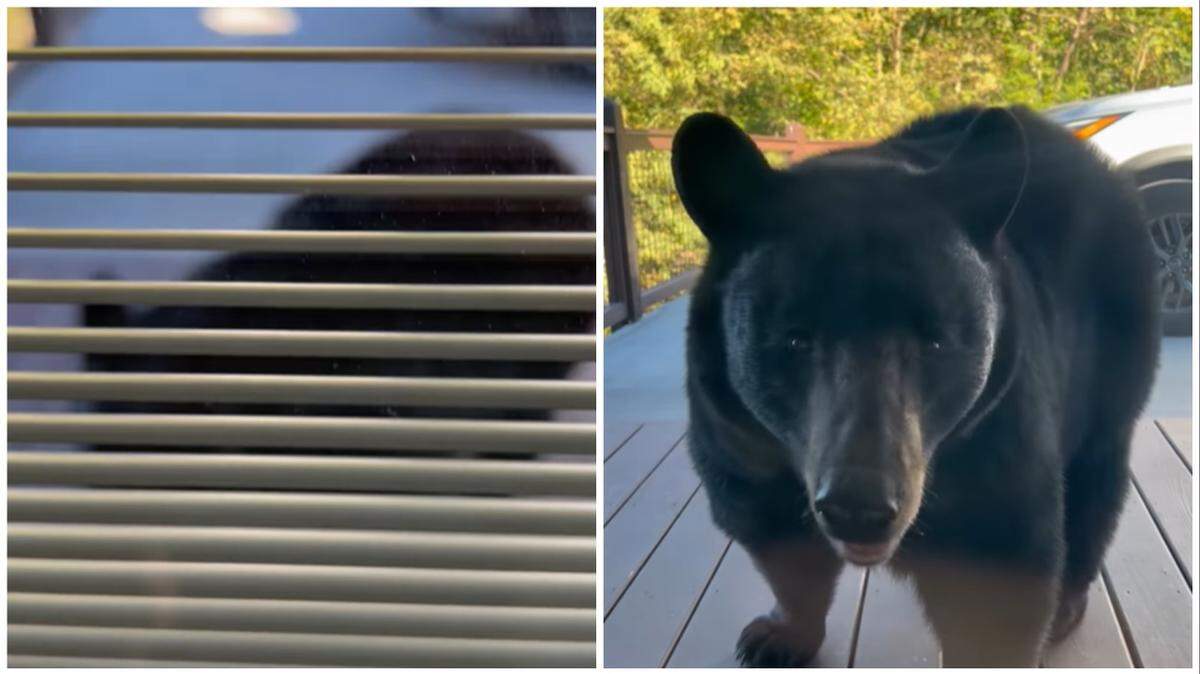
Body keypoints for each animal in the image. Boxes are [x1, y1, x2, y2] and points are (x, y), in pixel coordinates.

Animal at [672, 106, 1159, 667]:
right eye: (795, 339)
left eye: (936, 342)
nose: (859, 508)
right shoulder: (737, 435)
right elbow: (774, 540)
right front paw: (779, 635)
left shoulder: (995, 438)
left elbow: (1002, 574)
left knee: (1094, 481)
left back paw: (1068, 603)